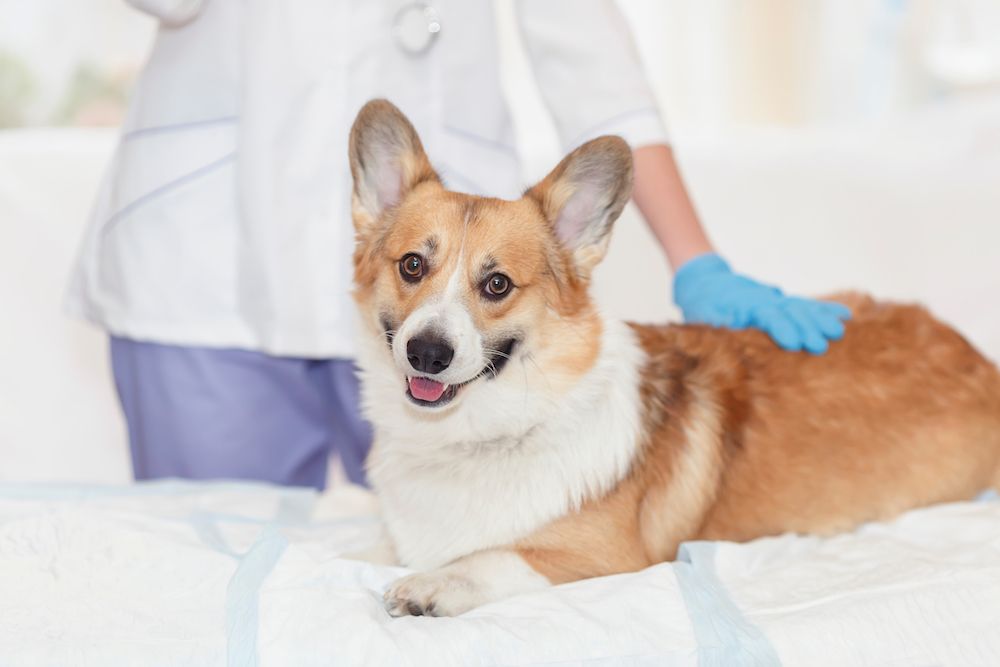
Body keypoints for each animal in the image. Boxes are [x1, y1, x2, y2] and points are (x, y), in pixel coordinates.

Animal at [346, 98, 1000, 616]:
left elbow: (492, 557)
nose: (427, 353)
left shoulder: (603, 555)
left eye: (498, 284)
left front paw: (431, 584)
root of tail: (973, 355)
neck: (474, 436)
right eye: (412, 265)